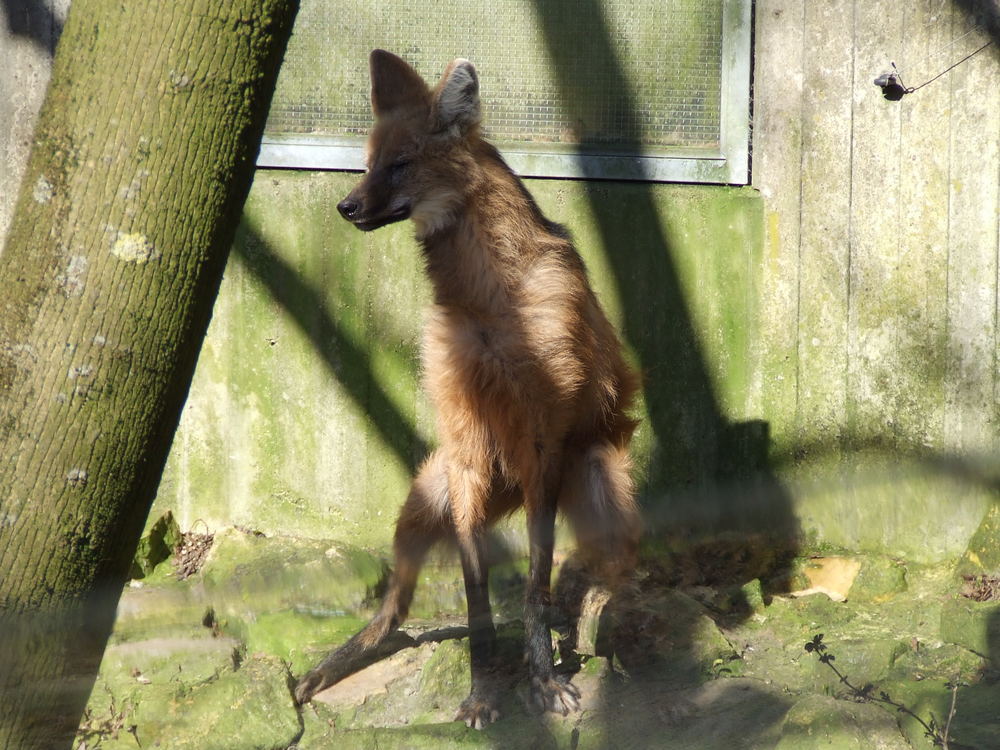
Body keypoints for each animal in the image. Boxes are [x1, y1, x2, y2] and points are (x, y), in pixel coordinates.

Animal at [294, 50, 640, 732]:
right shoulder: (468, 450)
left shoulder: (541, 444)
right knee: (392, 611)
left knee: (605, 575)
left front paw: (543, 681)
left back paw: (594, 620)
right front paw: (483, 693)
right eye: (367, 163)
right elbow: (479, 596)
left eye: (400, 164)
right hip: (426, 492)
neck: (487, 300)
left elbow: (533, 585)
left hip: (601, 476)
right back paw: (327, 667)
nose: (346, 206)